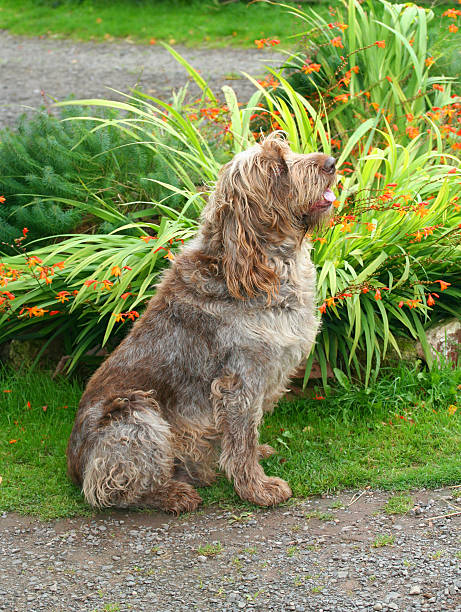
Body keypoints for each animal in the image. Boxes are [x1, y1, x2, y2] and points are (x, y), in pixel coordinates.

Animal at [66, 133, 334, 512]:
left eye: (287, 150)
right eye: (277, 168)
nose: (332, 163)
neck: (261, 267)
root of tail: (74, 469)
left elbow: (247, 433)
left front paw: (256, 458)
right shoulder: (238, 381)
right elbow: (242, 440)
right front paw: (256, 488)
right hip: (137, 417)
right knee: (106, 489)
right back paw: (172, 493)